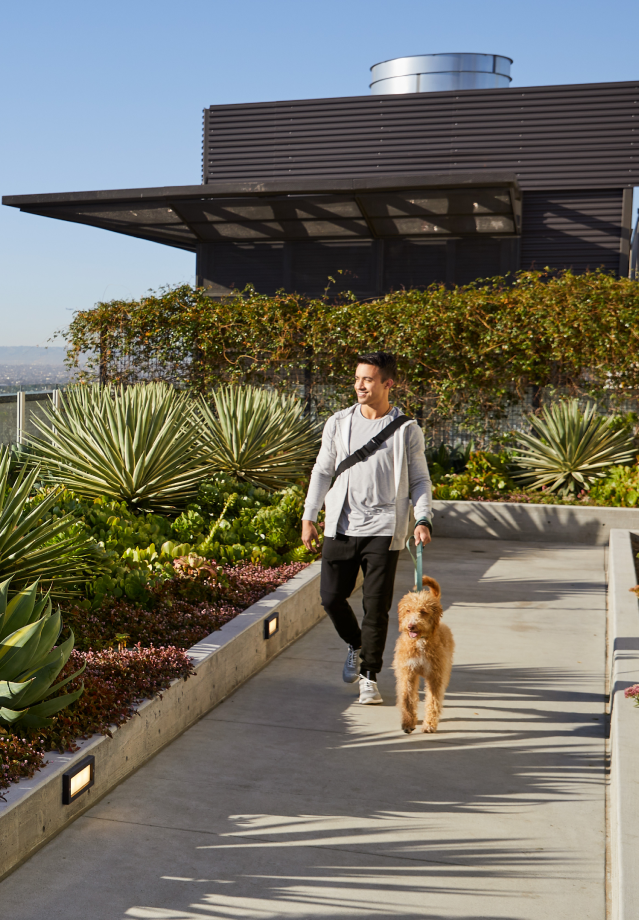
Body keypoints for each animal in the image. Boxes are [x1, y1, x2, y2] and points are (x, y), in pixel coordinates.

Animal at [396, 576, 456, 732]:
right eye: (408, 610)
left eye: (423, 611)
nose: (411, 626)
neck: (420, 642)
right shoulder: (408, 672)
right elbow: (407, 698)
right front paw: (408, 723)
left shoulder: (435, 676)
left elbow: (433, 701)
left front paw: (429, 724)